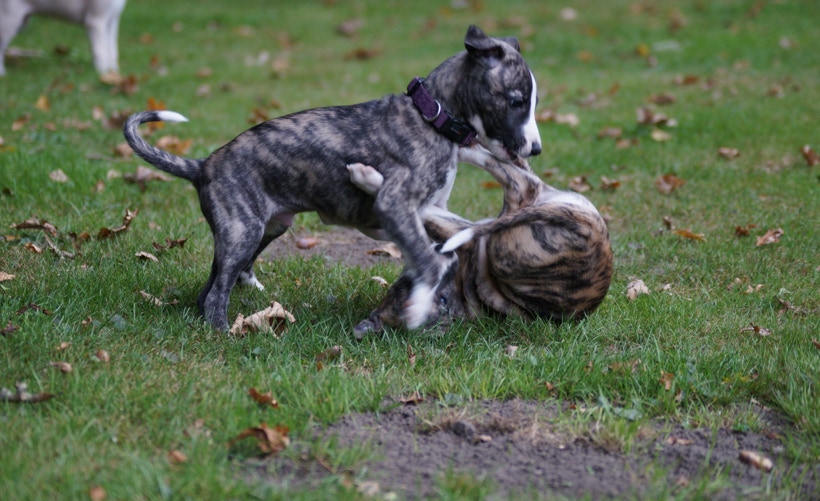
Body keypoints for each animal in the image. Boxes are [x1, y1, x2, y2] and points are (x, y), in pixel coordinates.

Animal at [123, 25, 541, 331]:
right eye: (517, 101)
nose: (535, 149)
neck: (431, 115)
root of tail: (204, 165)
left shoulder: (431, 210)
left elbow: (452, 246)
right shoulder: (395, 204)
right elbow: (429, 259)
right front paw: (419, 306)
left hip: (265, 228)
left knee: (212, 285)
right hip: (243, 230)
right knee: (215, 293)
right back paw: (223, 334)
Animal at [347, 146, 613, 338]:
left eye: (442, 299)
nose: (445, 256)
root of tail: (586, 228)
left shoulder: (461, 236)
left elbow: (422, 216)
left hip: (499, 246)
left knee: (520, 178)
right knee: (519, 175)